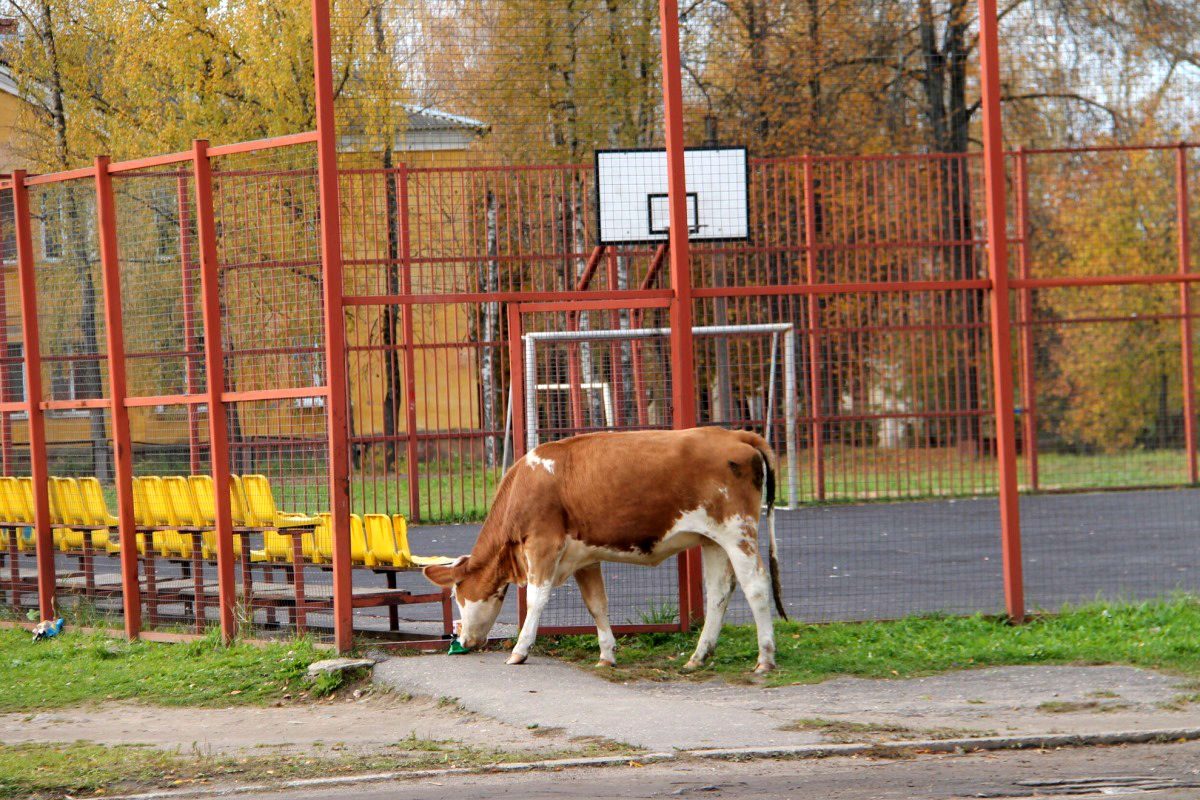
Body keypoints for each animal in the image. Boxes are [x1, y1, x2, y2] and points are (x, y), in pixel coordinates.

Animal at [422, 429, 787, 671]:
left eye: (458, 594)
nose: (463, 640)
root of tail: (733, 433)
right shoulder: (584, 557)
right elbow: (597, 604)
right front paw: (607, 654)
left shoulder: (542, 544)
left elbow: (535, 600)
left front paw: (520, 650)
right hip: (713, 540)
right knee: (719, 593)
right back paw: (698, 657)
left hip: (737, 532)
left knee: (756, 586)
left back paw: (765, 658)